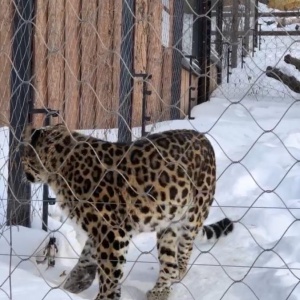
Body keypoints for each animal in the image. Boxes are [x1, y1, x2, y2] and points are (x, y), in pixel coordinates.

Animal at [21, 123, 234, 300]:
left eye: (25, 155)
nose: (22, 169)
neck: (59, 169)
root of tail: (203, 137)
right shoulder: (101, 229)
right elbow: (87, 255)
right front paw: (76, 281)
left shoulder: (112, 231)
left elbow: (109, 272)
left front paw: (105, 297)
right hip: (168, 224)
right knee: (168, 259)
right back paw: (160, 290)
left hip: (192, 216)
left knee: (183, 254)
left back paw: (172, 280)